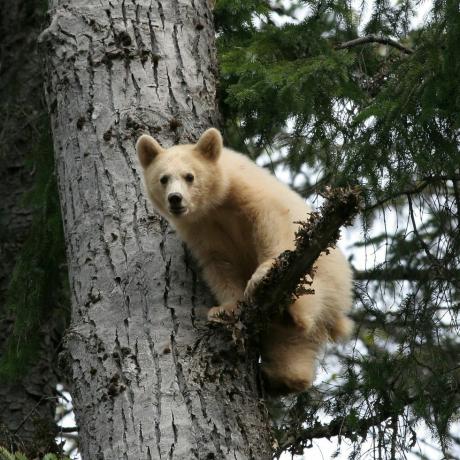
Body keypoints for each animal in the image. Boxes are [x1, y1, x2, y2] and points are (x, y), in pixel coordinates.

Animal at [136, 127, 352, 394]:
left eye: (189, 176)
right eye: (163, 178)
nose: (175, 199)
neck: (216, 203)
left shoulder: (247, 191)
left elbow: (269, 220)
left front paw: (262, 275)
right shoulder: (202, 229)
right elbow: (218, 263)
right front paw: (225, 309)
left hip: (322, 273)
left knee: (309, 298)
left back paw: (291, 312)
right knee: (291, 349)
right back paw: (283, 378)